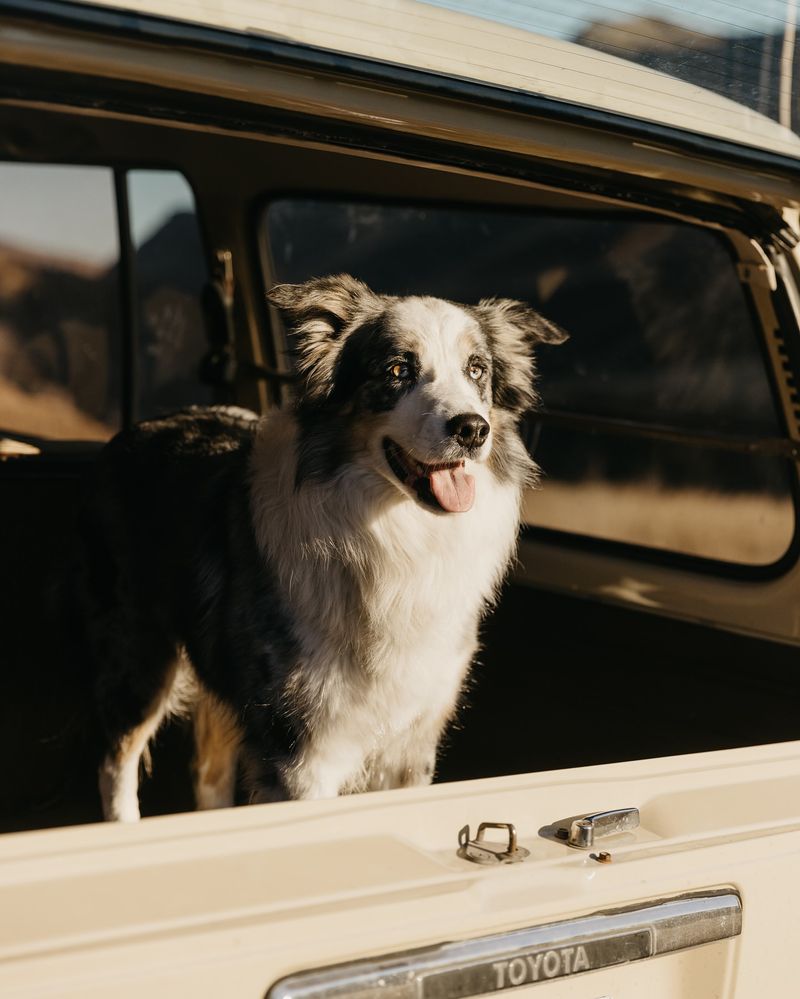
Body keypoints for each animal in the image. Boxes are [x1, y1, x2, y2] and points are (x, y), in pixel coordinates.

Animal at [81, 276, 564, 820]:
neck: (397, 534)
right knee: (116, 764)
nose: (473, 428)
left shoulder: (411, 744)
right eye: (398, 370)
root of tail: (141, 425)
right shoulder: (300, 748)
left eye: (477, 369)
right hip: (135, 652)